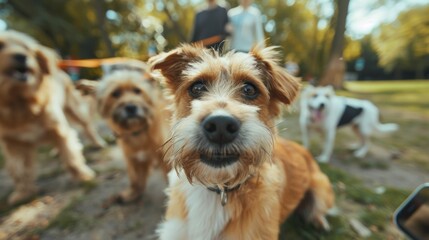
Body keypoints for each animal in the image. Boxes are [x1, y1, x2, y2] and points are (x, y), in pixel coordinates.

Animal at [0, 30, 96, 204]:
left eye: (26, 48)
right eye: (0, 46)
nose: (21, 56)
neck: (20, 103)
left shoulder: (58, 129)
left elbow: (71, 154)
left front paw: (82, 176)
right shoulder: (12, 143)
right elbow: (19, 169)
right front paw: (23, 193)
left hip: (74, 109)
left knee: (86, 125)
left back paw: (98, 142)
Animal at [77, 60, 171, 202]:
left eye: (137, 90)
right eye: (115, 93)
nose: (131, 107)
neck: (138, 132)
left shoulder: (164, 156)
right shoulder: (132, 157)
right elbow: (134, 177)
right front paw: (133, 193)